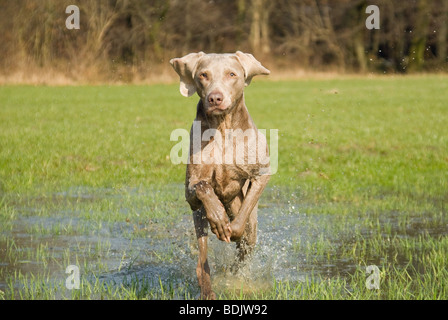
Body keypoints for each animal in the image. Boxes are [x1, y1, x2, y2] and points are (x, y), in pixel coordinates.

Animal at [171, 51, 270, 298]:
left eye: (231, 74)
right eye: (203, 75)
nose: (215, 98)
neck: (223, 128)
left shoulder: (262, 173)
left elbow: (240, 225)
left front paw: (231, 230)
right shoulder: (191, 190)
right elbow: (203, 187)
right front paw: (218, 218)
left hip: (249, 224)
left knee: (245, 247)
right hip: (198, 217)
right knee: (202, 258)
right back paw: (207, 287)